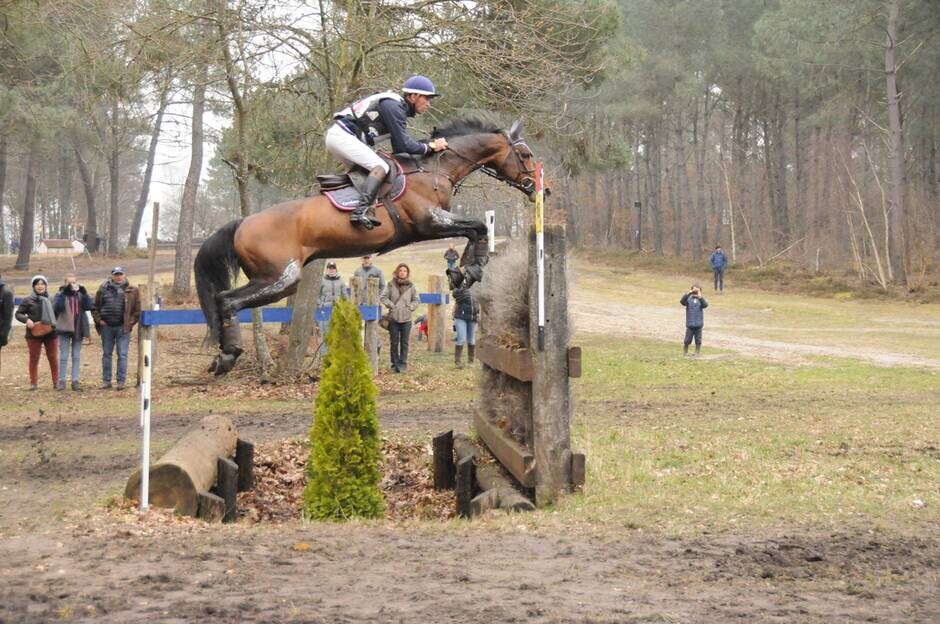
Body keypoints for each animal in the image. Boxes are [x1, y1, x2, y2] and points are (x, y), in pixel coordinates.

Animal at [193, 116, 544, 376]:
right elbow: (478, 226)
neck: (435, 169)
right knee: (227, 300)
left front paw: (463, 273)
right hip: (280, 278)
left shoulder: (433, 226)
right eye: (526, 155)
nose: (542, 188)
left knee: (225, 300)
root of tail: (242, 223)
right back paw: (228, 355)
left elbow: (475, 230)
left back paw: (223, 354)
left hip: (277, 280)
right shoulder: (430, 222)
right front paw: (470, 269)